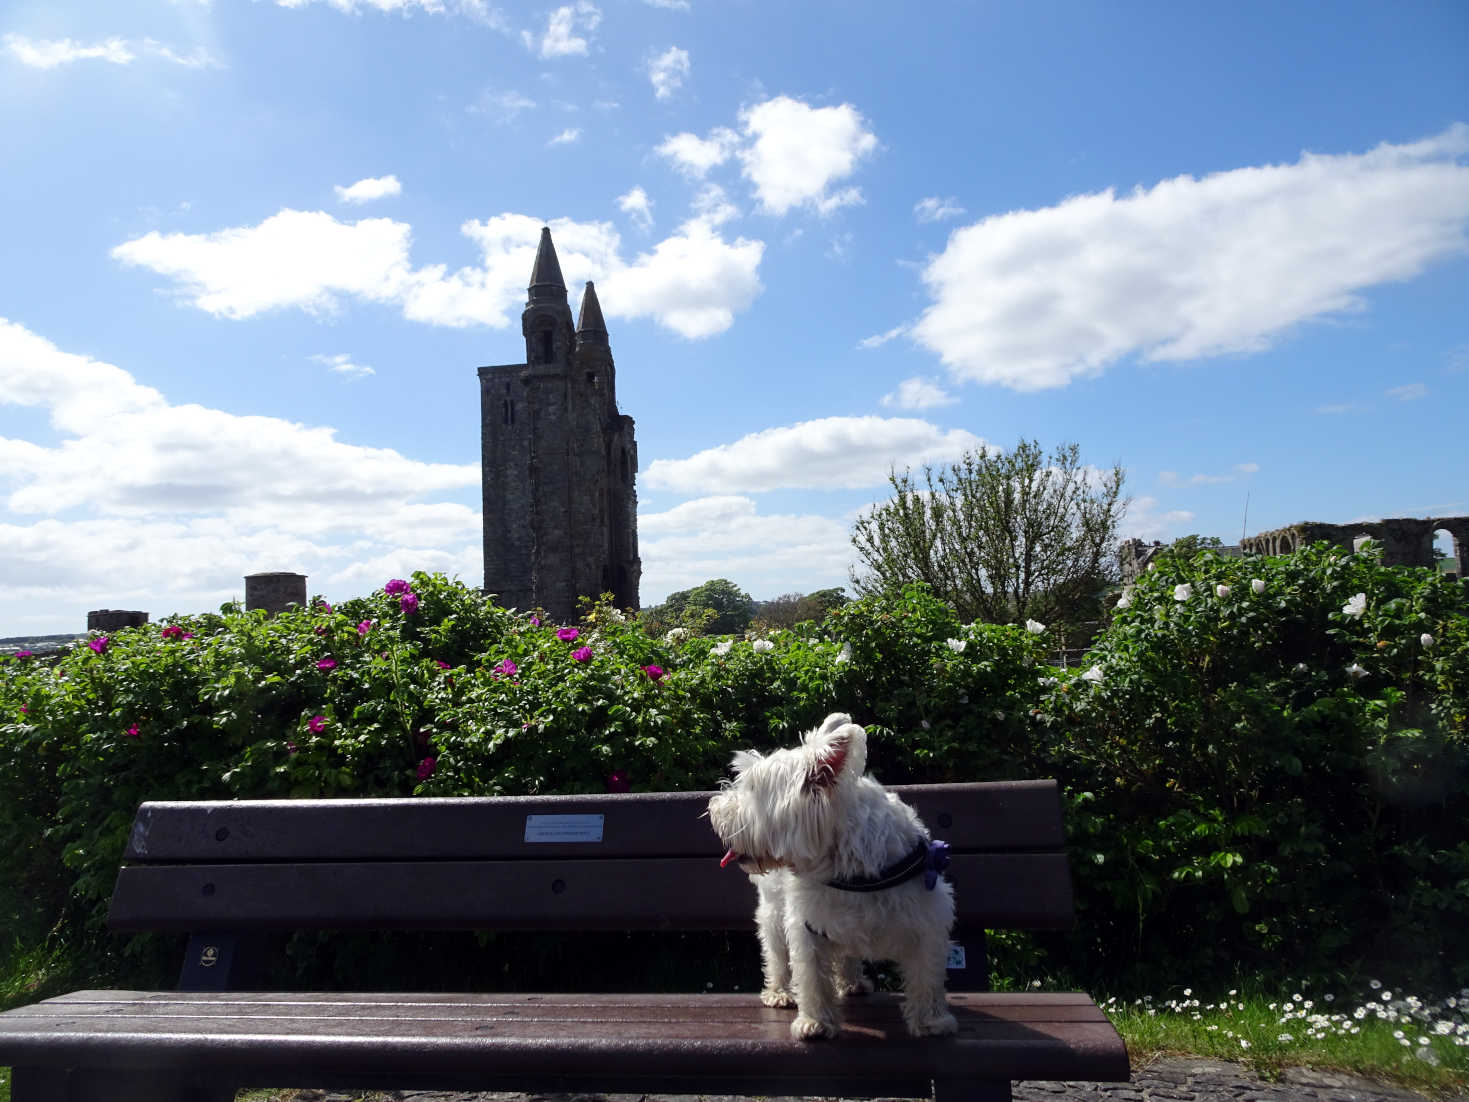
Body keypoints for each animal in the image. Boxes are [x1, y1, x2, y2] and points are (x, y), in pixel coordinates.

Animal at [705, 717, 957, 1046]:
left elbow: (927, 975)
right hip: (774, 910)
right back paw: (780, 992)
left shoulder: (927, 919)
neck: (849, 867)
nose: (713, 808)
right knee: (776, 953)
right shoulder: (806, 924)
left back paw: (851, 982)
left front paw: (932, 1022)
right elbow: (811, 977)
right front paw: (815, 1023)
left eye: (753, 788)